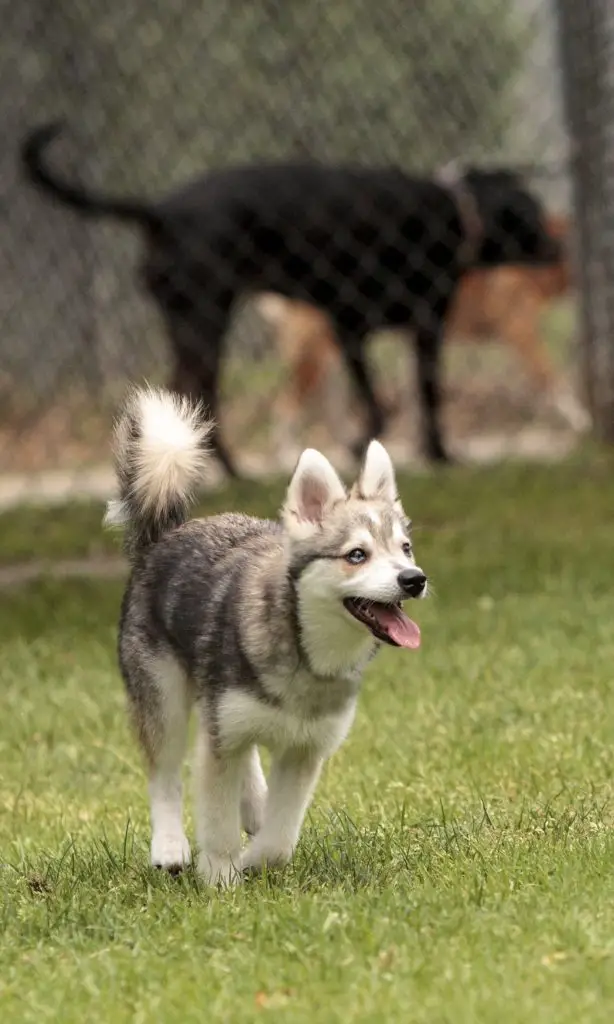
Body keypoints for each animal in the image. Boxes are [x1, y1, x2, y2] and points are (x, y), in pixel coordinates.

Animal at [105, 387, 427, 884]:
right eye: (356, 555)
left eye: (405, 548)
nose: (414, 579)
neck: (304, 650)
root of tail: (167, 534)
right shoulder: (221, 741)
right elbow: (216, 821)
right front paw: (222, 876)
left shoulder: (305, 750)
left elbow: (281, 838)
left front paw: (255, 859)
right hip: (161, 694)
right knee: (164, 774)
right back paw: (170, 847)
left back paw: (253, 806)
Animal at [255, 211, 589, 460]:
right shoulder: (521, 332)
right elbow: (553, 380)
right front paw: (581, 420)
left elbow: (417, 399)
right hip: (314, 357)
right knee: (285, 406)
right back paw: (289, 457)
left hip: (332, 357)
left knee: (328, 408)